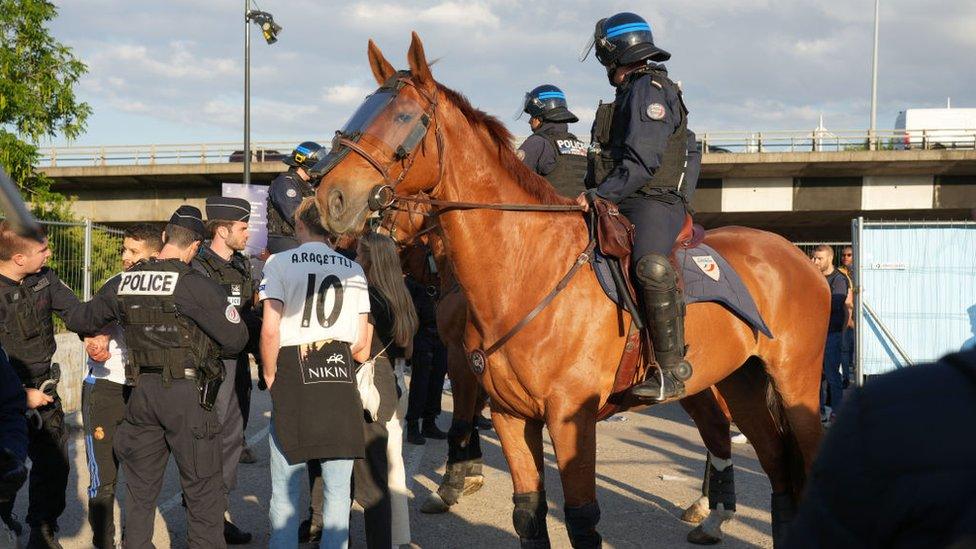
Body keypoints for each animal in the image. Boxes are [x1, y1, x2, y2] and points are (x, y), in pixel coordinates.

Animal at [316, 33, 828, 544]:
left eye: (404, 118)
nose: (328, 199)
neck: (524, 270)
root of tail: (796, 255)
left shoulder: (567, 417)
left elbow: (580, 517)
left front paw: (454, 484)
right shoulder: (510, 414)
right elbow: (528, 512)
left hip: (794, 384)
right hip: (739, 382)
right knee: (775, 467)